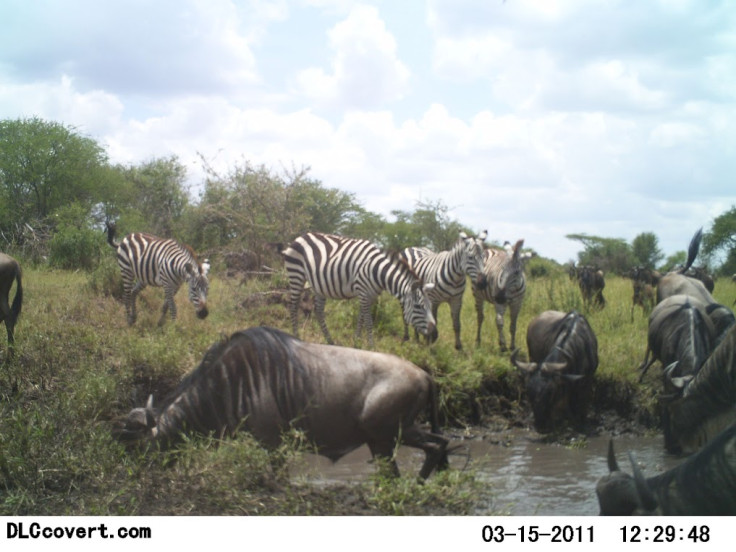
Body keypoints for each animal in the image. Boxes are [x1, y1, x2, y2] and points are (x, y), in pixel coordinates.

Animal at [278, 232, 434, 344]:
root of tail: (299, 237)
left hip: (318, 285)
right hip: (296, 274)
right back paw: (297, 337)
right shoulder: (363, 291)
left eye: (430, 306)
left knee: (318, 310)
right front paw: (371, 346)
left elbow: (361, 318)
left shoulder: (370, 295)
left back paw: (330, 341)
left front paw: (356, 341)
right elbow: (369, 322)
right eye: (418, 307)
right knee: (293, 306)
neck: (376, 271)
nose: (434, 334)